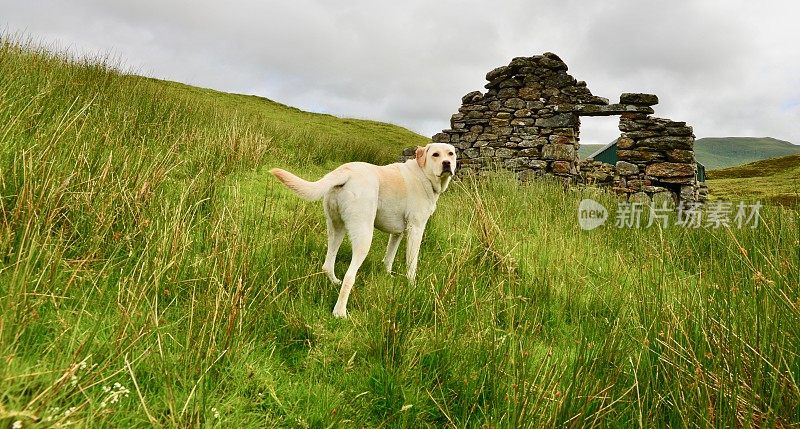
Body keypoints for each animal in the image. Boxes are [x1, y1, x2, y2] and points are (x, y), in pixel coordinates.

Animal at [270, 142, 454, 316]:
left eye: (451, 154)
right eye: (435, 154)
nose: (447, 164)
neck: (424, 175)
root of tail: (345, 171)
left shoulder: (397, 233)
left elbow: (389, 257)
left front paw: (388, 275)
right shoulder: (416, 229)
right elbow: (412, 264)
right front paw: (412, 285)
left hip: (337, 229)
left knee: (328, 265)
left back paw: (334, 282)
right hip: (364, 236)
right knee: (349, 276)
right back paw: (340, 313)